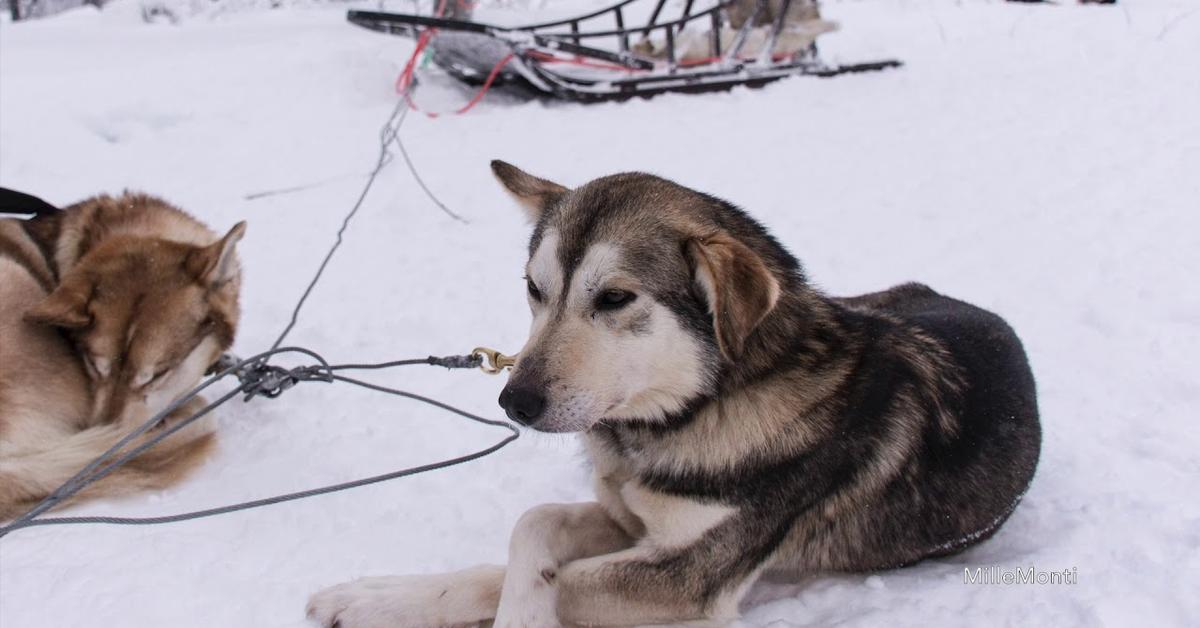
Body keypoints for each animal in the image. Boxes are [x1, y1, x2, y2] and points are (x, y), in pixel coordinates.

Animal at [309, 163, 1041, 628]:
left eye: (614, 298)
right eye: (535, 290)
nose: (514, 403)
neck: (691, 410)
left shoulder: (685, 573)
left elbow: (543, 576)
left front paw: (522, 616)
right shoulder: (628, 514)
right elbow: (532, 526)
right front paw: (369, 597)